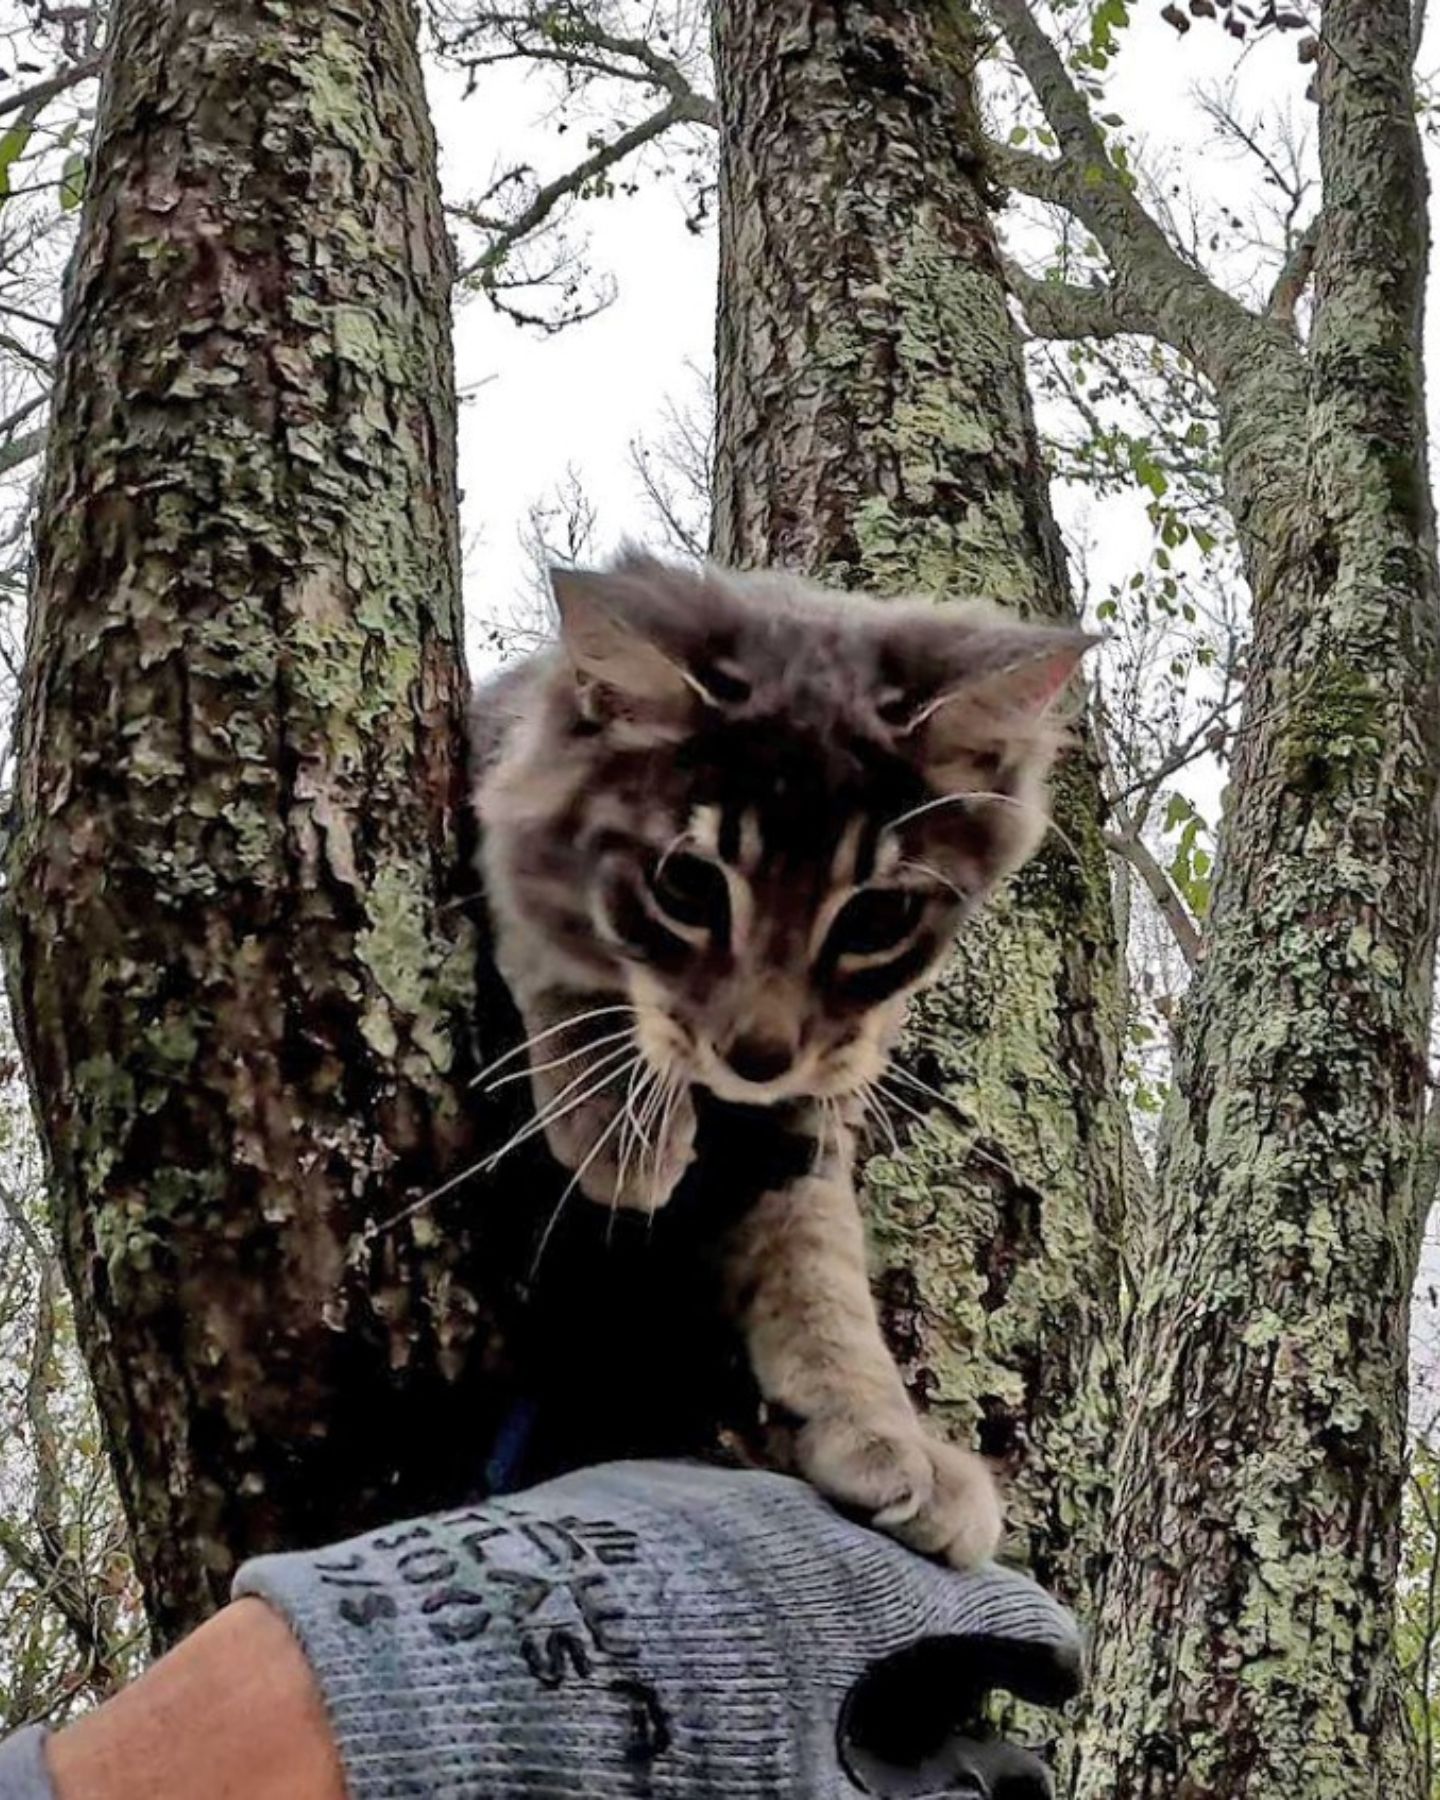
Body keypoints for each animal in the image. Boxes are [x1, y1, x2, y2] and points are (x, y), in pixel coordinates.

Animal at [471, 543, 1094, 1562]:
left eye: (876, 917)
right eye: (687, 885)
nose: (757, 1056)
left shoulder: (810, 1109)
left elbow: (819, 1263)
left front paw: (883, 1429)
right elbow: (561, 956)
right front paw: (623, 1133)